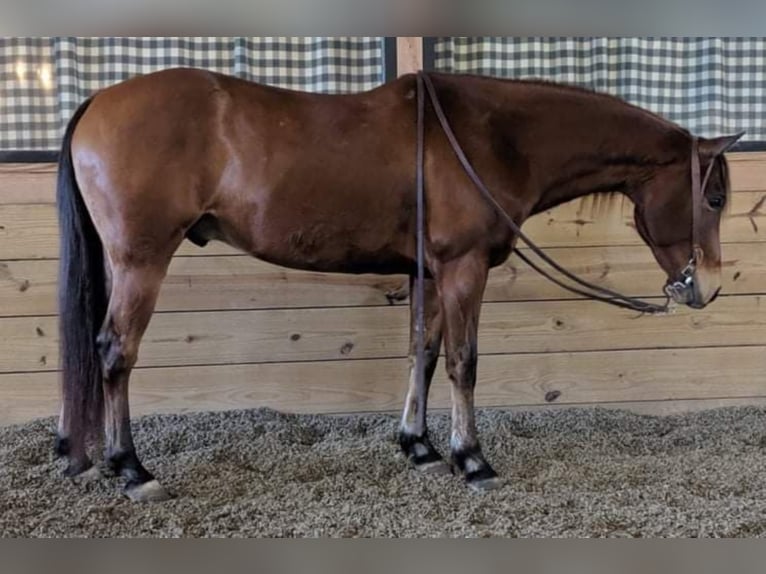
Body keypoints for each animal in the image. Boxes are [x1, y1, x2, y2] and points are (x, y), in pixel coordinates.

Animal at [57, 67, 740, 502]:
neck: (494, 138)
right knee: (115, 352)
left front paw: (420, 447)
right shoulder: (463, 268)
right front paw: (472, 460)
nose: (706, 286)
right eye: (713, 197)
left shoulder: (430, 273)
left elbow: (425, 354)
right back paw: (131, 470)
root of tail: (99, 101)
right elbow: (464, 361)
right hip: (143, 260)